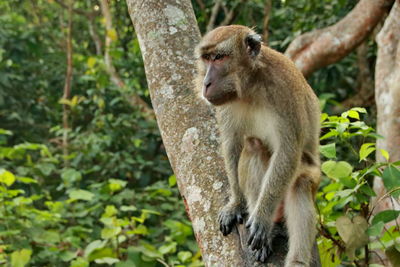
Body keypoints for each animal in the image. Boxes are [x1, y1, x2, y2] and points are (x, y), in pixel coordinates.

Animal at [195, 25, 320, 266]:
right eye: (206, 58)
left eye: (219, 57)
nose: (206, 83)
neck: (251, 85)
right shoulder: (227, 104)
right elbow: (232, 145)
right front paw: (236, 203)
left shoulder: (284, 90)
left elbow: (288, 151)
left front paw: (261, 219)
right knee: (253, 146)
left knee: (300, 184)